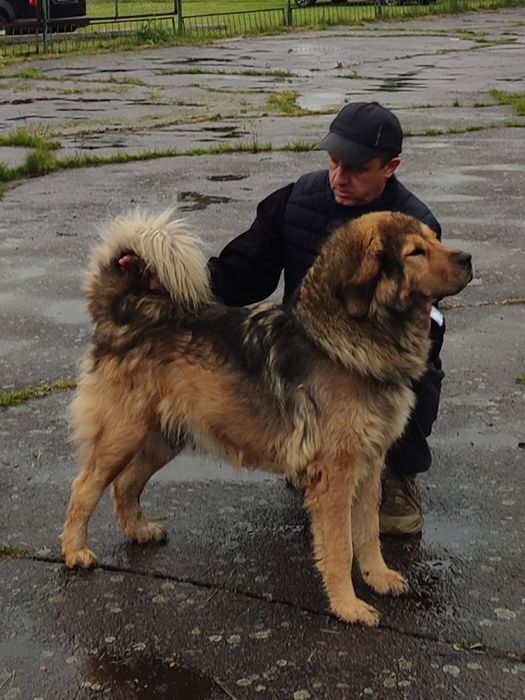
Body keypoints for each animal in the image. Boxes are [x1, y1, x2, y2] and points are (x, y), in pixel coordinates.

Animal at [61, 209, 472, 625]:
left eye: (434, 239)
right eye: (415, 252)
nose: (467, 259)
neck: (347, 339)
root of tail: (124, 306)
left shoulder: (369, 465)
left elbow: (368, 532)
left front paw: (379, 577)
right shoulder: (336, 474)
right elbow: (341, 546)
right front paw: (347, 605)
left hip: (164, 438)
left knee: (125, 485)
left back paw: (140, 529)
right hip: (122, 433)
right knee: (85, 487)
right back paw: (75, 551)